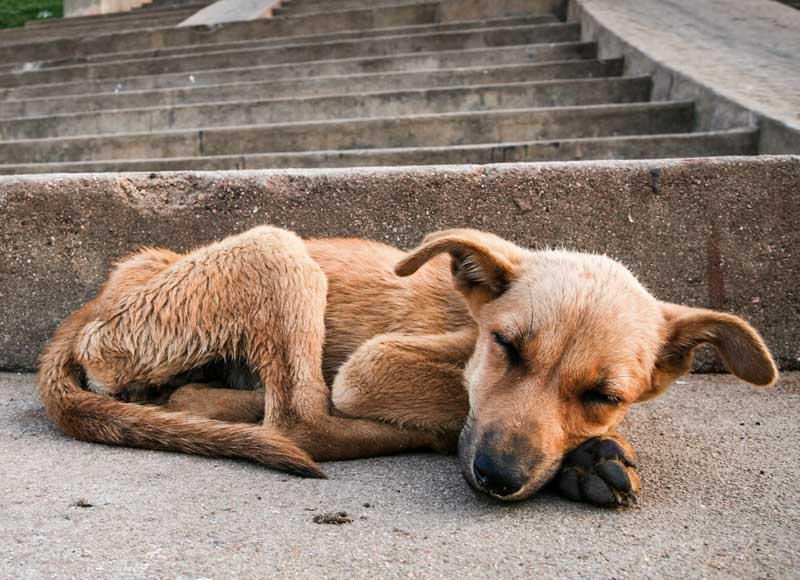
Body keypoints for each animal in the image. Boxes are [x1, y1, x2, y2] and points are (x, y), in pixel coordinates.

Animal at [37, 228, 776, 508]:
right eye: (507, 347)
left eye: (603, 394)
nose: (498, 478)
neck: (469, 318)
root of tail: (99, 300)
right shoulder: (373, 365)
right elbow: (456, 403)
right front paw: (583, 458)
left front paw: (588, 451)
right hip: (277, 248)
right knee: (302, 420)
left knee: (210, 399)